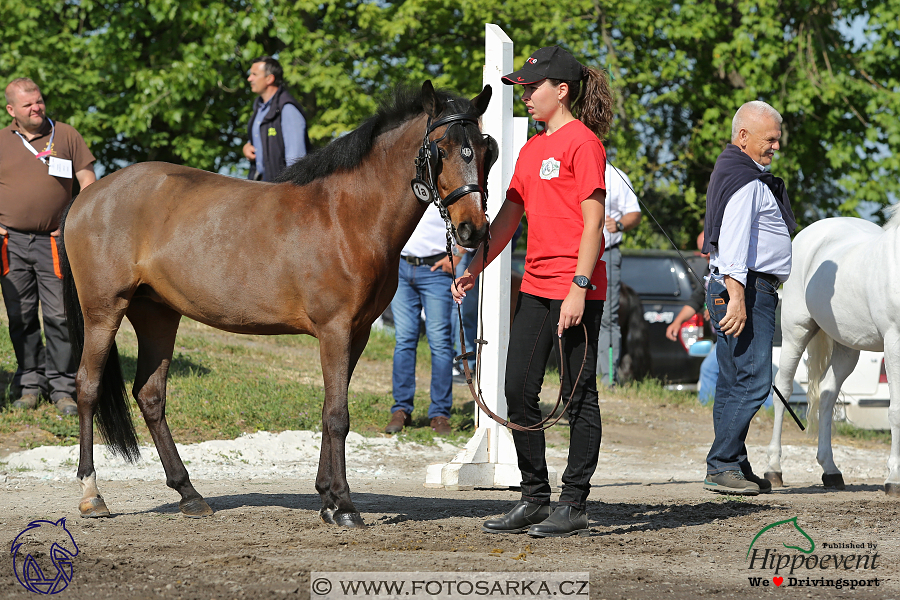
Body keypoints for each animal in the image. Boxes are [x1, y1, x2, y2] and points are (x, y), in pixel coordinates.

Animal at [61, 82, 492, 528]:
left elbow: (329, 408)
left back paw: (189, 494)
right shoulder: (334, 330)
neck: (346, 215)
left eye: (485, 149)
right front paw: (345, 505)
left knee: (150, 396)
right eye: (441, 149)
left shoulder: (355, 334)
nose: (472, 230)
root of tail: (88, 195)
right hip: (104, 311)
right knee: (88, 387)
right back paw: (92, 495)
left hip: (157, 314)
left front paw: (327, 499)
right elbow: (338, 416)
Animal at [760, 209, 900, 494]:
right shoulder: (893, 342)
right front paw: (894, 478)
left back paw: (831, 471)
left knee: (826, 393)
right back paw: (774, 469)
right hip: (795, 332)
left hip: (847, 347)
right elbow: (896, 411)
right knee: (784, 390)